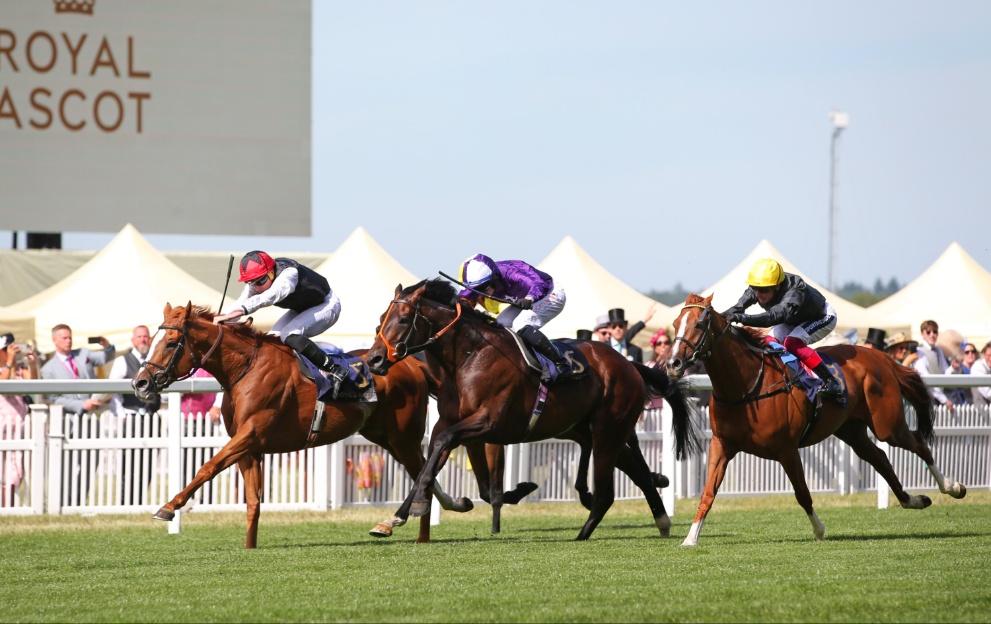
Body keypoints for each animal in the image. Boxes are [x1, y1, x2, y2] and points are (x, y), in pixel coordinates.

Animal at [132, 300, 472, 548]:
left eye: (171, 342)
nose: (140, 383)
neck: (244, 369)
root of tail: (413, 364)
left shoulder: (250, 434)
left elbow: (208, 466)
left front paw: (168, 507)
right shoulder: (249, 447)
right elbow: (253, 501)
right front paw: (250, 547)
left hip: (403, 437)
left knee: (424, 474)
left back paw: (419, 534)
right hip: (383, 438)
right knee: (425, 474)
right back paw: (442, 510)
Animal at [362, 280, 696, 540]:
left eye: (404, 319)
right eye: (380, 318)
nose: (374, 360)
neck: (469, 356)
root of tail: (629, 364)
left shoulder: (489, 422)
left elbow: (442, 450)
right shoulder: (449, 424)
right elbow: (429, 463)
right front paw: (393, 518)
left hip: (608, 429)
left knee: (608, 492)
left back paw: (583, 534)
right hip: (592, 431)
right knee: (636, 472)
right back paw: (661, 520)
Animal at [664, 294, 964, 544]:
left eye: (699, 324)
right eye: (676, 323)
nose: (673, 364)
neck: (747, 385)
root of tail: (881, 357)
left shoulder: (786, 449)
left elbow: (802, 493)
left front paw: (819, 530)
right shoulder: (722, 444)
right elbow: (708, 493)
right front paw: (690, 538)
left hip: (887, 426)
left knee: (918, 443)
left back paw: (952, 487)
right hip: (851, 430)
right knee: (880, 458)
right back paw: (913, 500)